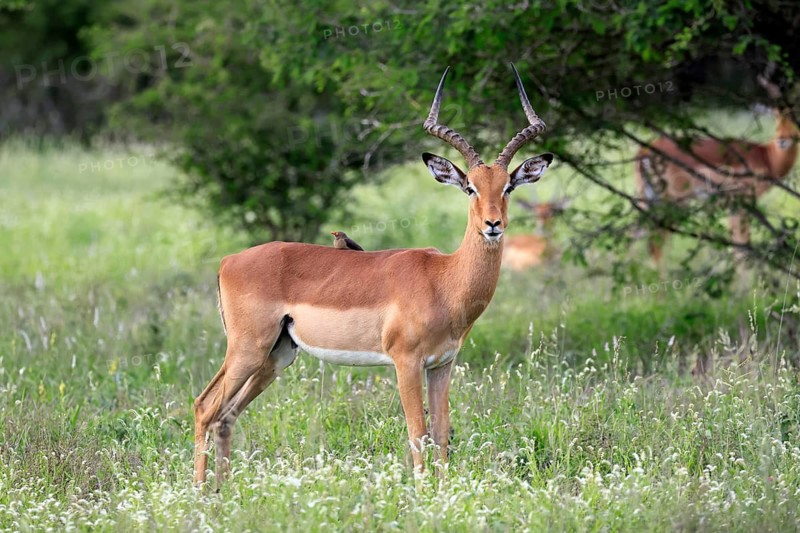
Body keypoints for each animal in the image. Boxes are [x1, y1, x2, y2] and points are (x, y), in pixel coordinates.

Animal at [193, 64, 554, 484]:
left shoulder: (442, 364)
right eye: (469, 188)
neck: (444, 280)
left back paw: (221, 490)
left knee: (225, 415)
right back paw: (200, 491)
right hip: (247, 349)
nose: (493, 224)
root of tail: (227, 261)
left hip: (276, 356)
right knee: (205, 406)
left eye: (508, 185)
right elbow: (417, 431)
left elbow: (442, 431)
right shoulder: (406, 362)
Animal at [635, 73, 799, 265]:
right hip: (672, 202)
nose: (783, 139)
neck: (766, 156)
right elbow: (741, 250)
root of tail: (645, 150)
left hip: (648, 200)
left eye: (796, 114)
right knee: (656, 243)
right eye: (775, 115)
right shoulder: (742, 203)